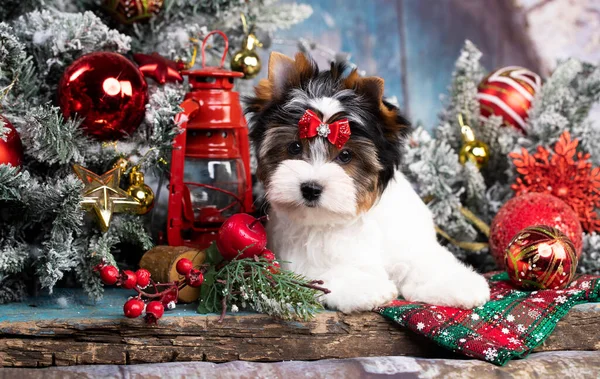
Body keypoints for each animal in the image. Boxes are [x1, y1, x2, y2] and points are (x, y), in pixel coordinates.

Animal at [246, 53, 490, 314]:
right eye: (294, 147)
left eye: (345, 155)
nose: (310, 188)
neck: (348, 219)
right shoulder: (303, 259)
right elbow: (329, 273)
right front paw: (368, 287)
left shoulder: (406, 240)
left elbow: (422, 260)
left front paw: (458, 283)